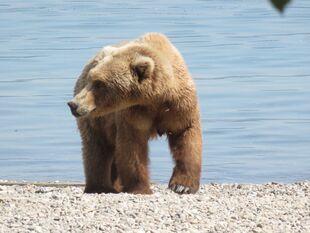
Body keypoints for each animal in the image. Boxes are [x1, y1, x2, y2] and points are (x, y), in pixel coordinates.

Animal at [68, 31, 202, 194]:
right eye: (91, 79)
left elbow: (186, 137)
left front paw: (183, 186)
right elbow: (132, 147)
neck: (155, 98)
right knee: (96, 148)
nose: (73, 104)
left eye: (99, 83)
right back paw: (100, 186)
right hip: (96, 122)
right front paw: (140, 188)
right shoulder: (134, 114)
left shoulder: (179, 106)